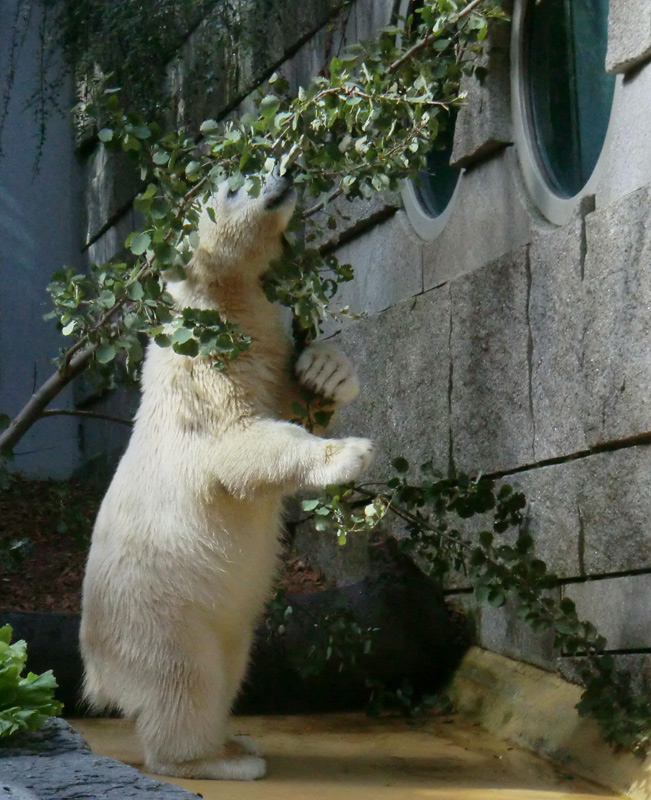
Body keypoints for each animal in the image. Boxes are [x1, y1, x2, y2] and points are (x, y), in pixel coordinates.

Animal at [79, 172, 374, 780]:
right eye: (234, 186)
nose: (284, 179)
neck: (216, 304)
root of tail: (97, 673)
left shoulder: (259, 353)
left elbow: (296, 400)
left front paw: (325, 370)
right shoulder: (202, 375)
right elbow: (242, 447)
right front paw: (349, 454)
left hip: (224, 621)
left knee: (230, 668)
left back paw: (234, 739)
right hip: (159, 612)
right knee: (184, 682)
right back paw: (217, 761)